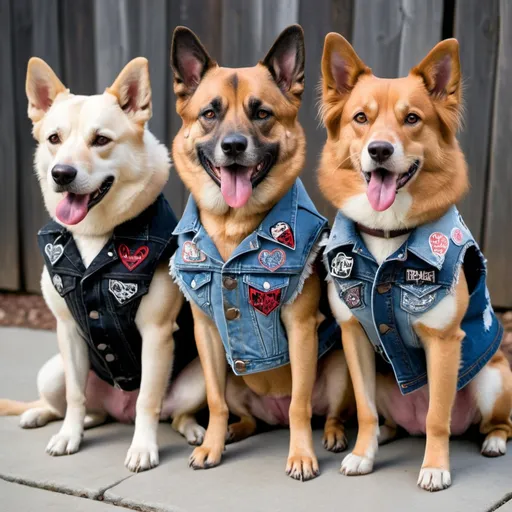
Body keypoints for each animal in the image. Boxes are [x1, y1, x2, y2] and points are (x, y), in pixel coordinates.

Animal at [0, 57, 208, 472]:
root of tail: (118, 410)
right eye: (54, 139)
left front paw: (143, 448)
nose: (61, 174)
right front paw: (69, 436)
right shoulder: (67, 330)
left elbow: (148, 399)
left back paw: (191, 428)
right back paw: (42, 414)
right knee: (79, 406)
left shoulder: (156, 335)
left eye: (101, 140)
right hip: (52, 372)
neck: (96, 234)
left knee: (170, 411)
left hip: (200, 382)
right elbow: (75, 397)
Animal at [169, 25, 352, 480]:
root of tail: (271, 413)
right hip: (227, 376)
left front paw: (301, 455)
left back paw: (332, 435)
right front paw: (213, 446)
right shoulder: (206, 332)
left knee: (324, 412)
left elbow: (300, 404)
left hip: (340, 368)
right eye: (210, 113)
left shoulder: (301, 329)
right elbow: (215, 403)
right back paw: (232, 432)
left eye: (262, 113)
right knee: (242, 415)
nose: (234, 146)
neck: (234, 228)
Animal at [320, 33, 512, 492]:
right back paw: (387, 434)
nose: (379, 149)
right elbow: (366, 412)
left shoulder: (443, 343)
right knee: (387, 417)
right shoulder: (354, 336)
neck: (386, 235)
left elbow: (437, 416)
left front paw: (435, 467)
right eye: (360, 118)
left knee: (495, 423)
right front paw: (363, 454)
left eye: (412, 119)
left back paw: (493, 441)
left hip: (494, 379)